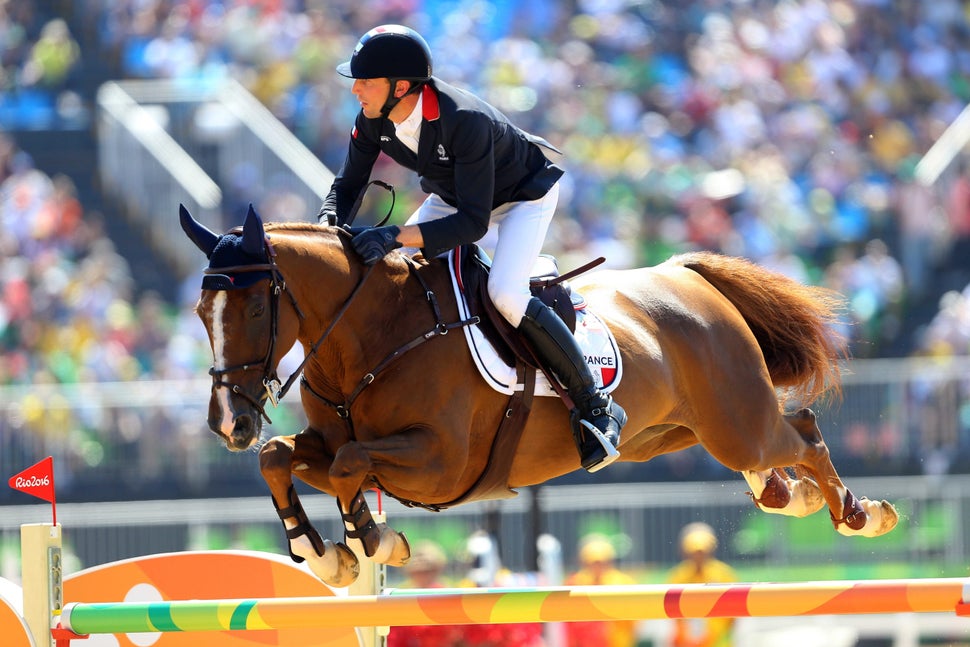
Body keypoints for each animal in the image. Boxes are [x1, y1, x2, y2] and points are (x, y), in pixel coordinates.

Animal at [180, 204, 898, 587]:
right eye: (198, 311)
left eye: (252, 308)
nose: (228, 424)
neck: (374, 334)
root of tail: (688, 278)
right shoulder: (328, 443)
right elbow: (282, 456)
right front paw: (324, 553)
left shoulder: (442, 463)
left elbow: (350, 464)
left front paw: (374, 541)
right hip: (675, 434)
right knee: (773, 469)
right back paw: (793, 496)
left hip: (735, 421)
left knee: (801, 430)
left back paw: (860, 512)